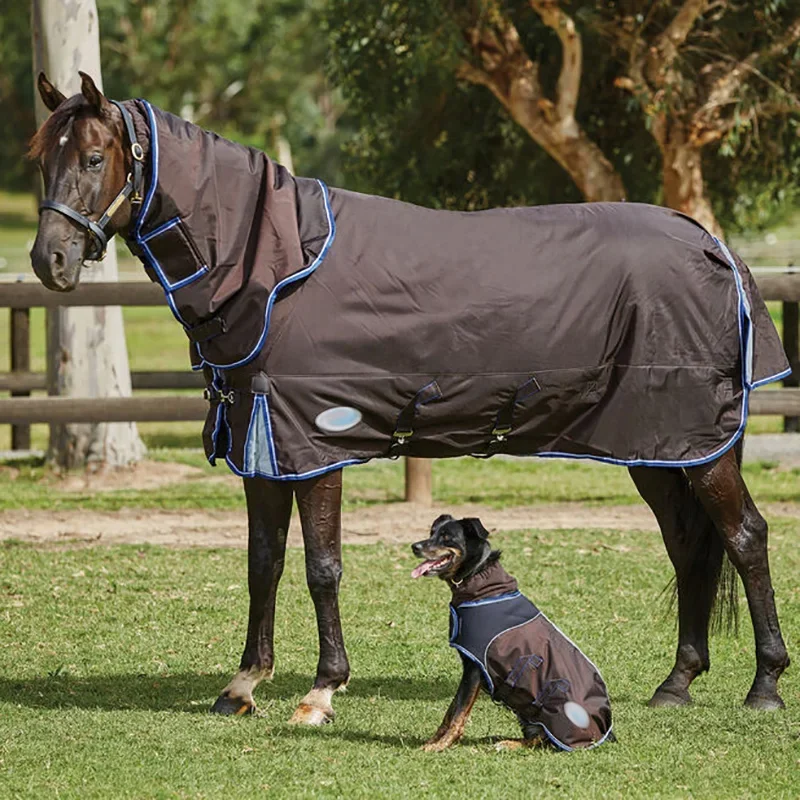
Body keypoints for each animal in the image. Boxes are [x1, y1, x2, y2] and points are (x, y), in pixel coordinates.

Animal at [28, 72, 792, 728]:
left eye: (93, 157)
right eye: (41, 159)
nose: (49, 261)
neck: (276, 267)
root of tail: (714, 247)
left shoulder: (313, 445)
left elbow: (322, 567)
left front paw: (323, 688)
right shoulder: (263, 448)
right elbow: (263, 563)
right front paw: (243, 684)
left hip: (697, 446)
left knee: (745, 538)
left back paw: (764, 685)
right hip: (657, 448)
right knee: (690, 547)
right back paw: (677, 683)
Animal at [412, 516, 612, 752]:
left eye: (446, 537)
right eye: (432, 532)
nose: (414, 546)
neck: (479, 579)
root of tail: (605, 731)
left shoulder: (474, 669)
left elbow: (457, 712)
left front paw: (440, 745)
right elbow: (450, 711)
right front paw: (433, 741)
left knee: (543, 741)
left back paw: (508, 744)